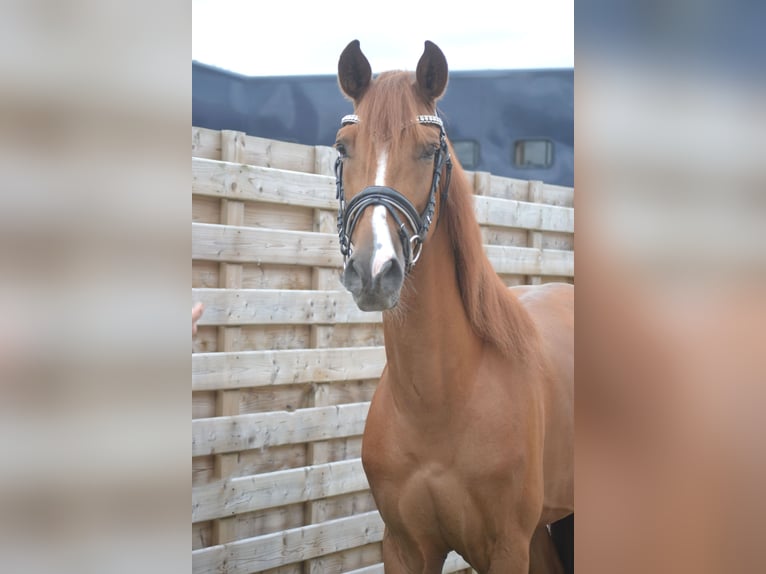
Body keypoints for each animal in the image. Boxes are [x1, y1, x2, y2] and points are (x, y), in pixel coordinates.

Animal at [332, 39, 572, 572]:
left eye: (428, 150)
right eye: (342, 147)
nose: (374, 271)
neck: (439, 401)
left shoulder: (507, 548)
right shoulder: (404, 547)